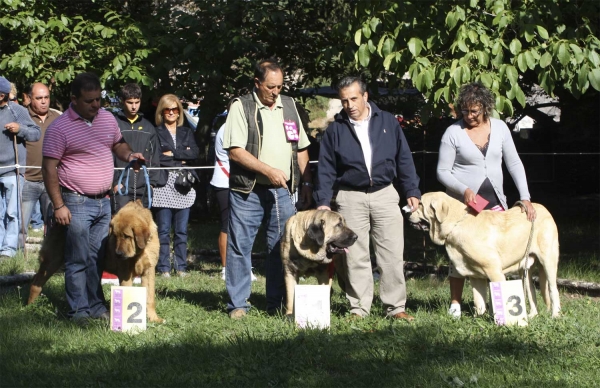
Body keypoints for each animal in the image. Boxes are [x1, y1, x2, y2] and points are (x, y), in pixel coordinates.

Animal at [28, 200, 164, 322]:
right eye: (115, 236)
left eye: (126, 236)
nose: (118, 254)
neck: (140, 251)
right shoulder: (125, 273)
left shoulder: (149, 271)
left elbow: (150, 298)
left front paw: (153, 318)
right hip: (52, 261)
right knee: (36, 282)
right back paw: (30, 307)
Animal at [406, 192, 560, 318]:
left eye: (420, 204)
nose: (407, 213)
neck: (456, 224)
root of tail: (543, 208)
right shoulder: (476, 276)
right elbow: (479, 303)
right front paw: (479, 320)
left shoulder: (494, 271)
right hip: (525, 269)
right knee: (531, 291)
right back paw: (532, 315)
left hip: (548, 261)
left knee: (553, 289)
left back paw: (555, 315)